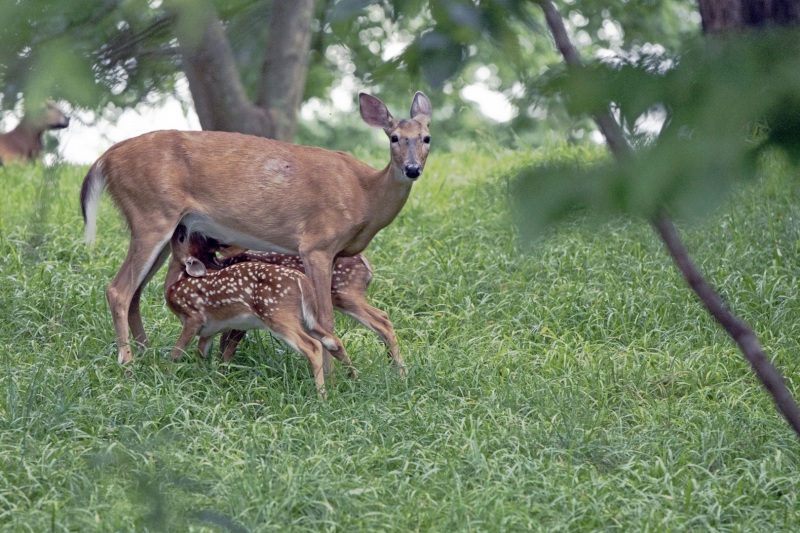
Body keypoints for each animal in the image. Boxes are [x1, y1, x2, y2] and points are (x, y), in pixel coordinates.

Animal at [164, 225, 356, 394]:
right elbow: (202, 354)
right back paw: (353, 381)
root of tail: (303, 282)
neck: (176, 283)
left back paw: (322, 394)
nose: (181, 227)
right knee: (333, 341)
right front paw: (203, 378)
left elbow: (177, 352)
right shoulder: (209, 330)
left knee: (313, 346)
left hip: (277, 315)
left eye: (181, 238)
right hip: (306, 319)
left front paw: (168, 375)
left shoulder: (194, 317)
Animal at [183, 238, 405, 373]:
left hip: (345, 293)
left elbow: (228, 346)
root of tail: (367, 266)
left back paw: (400, 373)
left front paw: (222, 374)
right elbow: (220, 344)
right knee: (382, 318)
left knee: (382, 320)